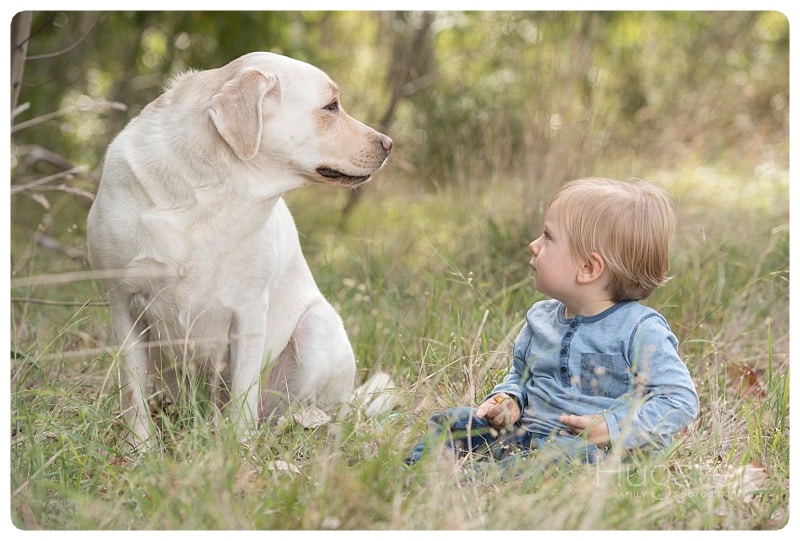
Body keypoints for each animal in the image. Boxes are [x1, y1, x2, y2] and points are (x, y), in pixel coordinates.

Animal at [87, 51, 394, 452]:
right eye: (330, 106)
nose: (389, 143)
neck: (209, 190)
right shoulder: (123, 303)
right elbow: (133, 392)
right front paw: (140, 450)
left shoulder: (248, 313)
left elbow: (242, 398)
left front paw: (238, 451)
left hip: (316, 328)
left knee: (309, 416)